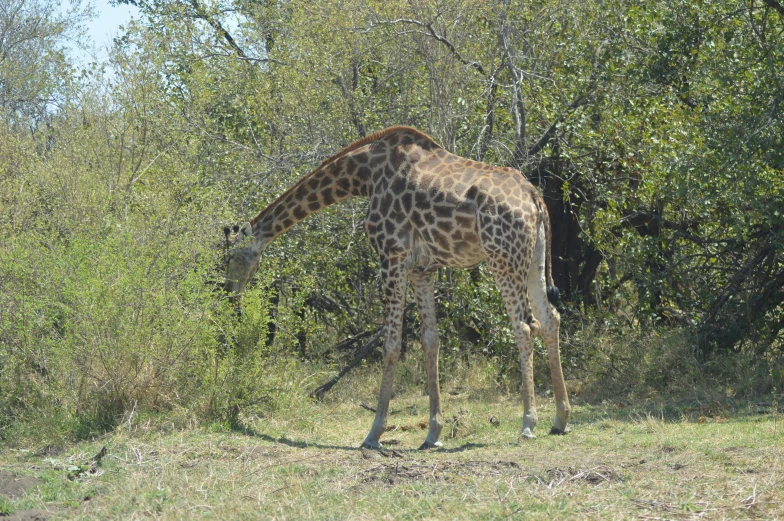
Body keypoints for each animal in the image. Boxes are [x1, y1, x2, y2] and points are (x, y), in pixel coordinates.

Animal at [224, 125, 572, 446]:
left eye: (231, 258)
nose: (230, 295)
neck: (364, 175)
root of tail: (535, 197)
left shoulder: (391, 255)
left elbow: (391, 344)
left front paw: (374, 432)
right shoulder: (422, 269)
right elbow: (430, 340)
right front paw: (433, 432)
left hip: (503, 258)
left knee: (525, 326)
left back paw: (528, 422)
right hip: (533, 258)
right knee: (550, 318)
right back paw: (560, 418)